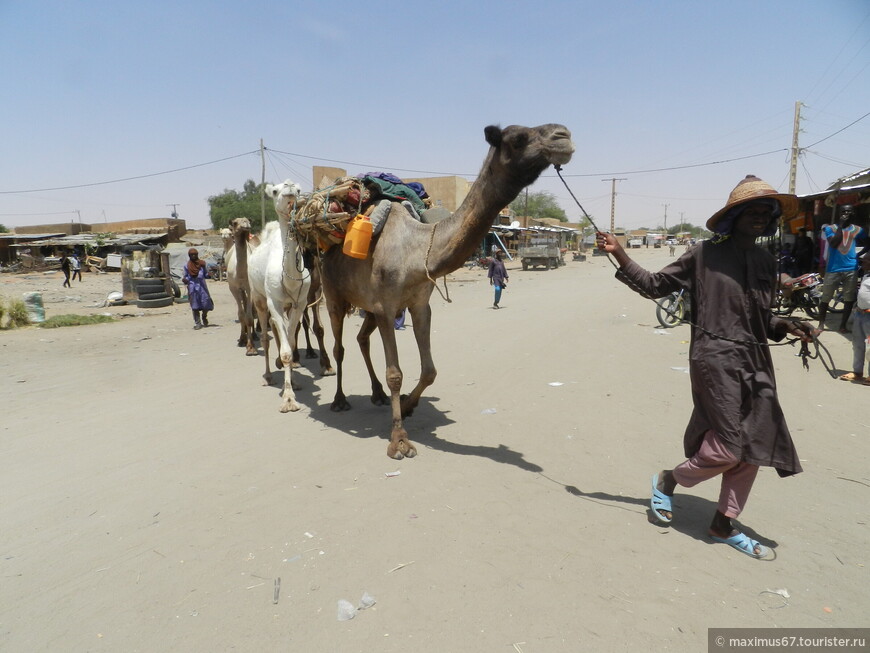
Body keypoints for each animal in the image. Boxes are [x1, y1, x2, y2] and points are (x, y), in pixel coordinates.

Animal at [247, 181, 312, 410]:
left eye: (299, 190)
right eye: (275, 191)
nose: (289, 186)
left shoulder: (299, 302)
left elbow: (290, 346)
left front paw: (293, 384)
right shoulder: (273, 302)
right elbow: (285, 351)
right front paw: (289, 399)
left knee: (278, 332)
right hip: (258, 298)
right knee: (266, 338)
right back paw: (268, 376)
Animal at [316, 123, 576, 458]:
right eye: (519, 138)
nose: (563, 136)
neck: (417, 251)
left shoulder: (417, 304)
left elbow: (429, 370)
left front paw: (408, 407)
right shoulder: (387, 307)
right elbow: (395, 374)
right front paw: (399, 439)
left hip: (368, 305)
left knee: (362, 338)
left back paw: (377, 394)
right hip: (334, 293)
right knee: (339, 345)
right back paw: (339, 400)